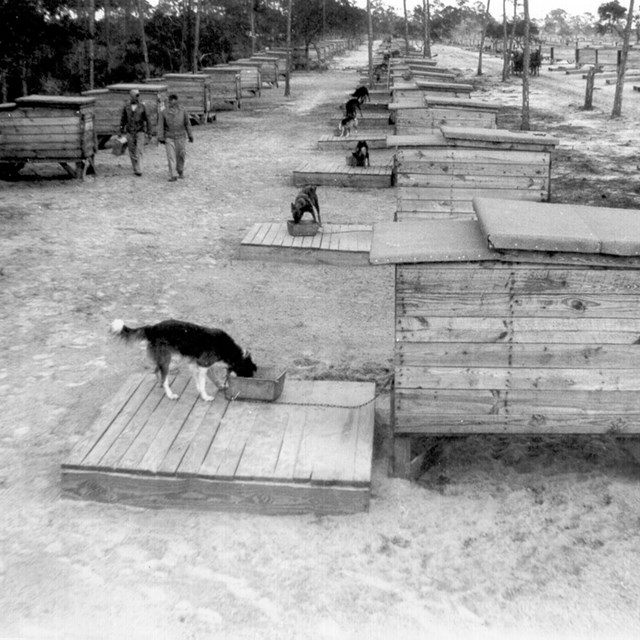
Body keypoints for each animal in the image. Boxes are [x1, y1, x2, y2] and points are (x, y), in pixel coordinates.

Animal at [111, 318, 256, 402]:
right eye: (248, 374)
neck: (230, 350)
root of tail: (152, 328)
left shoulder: (199, 364)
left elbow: (210, 379)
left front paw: (220, 386)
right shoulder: (202, 364)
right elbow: (203, 384)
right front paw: (205, 396)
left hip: (162, 358)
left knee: (157, 372)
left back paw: (160, 385)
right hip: (167, 360)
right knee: (164, 378)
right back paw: (170, 394)